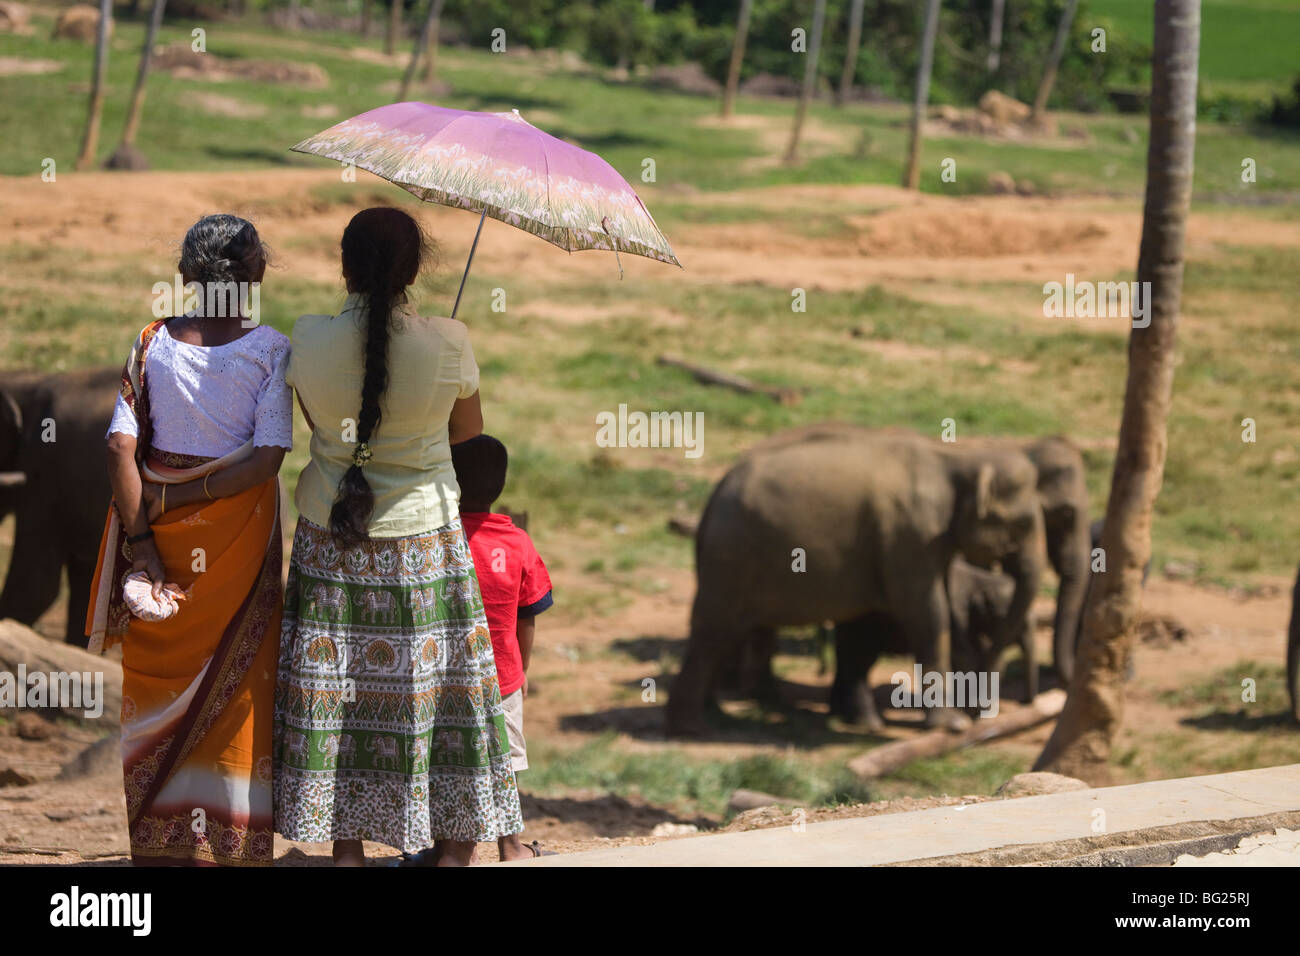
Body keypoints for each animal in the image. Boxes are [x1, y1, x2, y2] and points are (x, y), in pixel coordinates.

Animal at [665, 429, 1040, 738]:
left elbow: (939, 604)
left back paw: (715, 714)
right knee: (715, 630)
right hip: (733, 556)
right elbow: (927, 612)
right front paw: (952, 725)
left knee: (728, 632)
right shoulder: (911, 534)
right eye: (1022, 523)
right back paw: (693, 727)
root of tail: (714, 495)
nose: (978, 715)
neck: (957, 458)